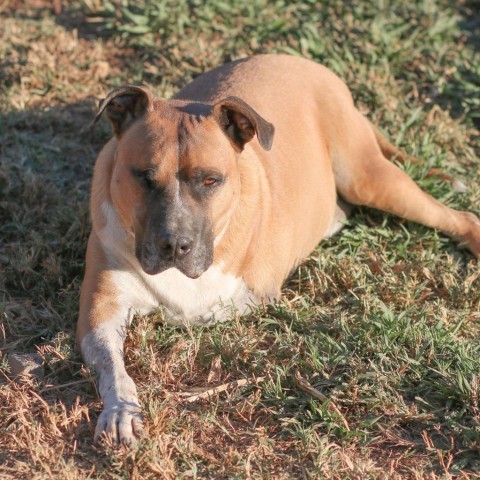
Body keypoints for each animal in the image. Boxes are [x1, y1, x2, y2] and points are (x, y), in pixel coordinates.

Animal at [76, 54, 480, 444]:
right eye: (143, 177)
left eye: (210, 181)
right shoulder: (100, 312)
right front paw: (121, 410)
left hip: (369, 179)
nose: (174, 245)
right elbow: (112, 366)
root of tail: (302, 61)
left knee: (460, 217)